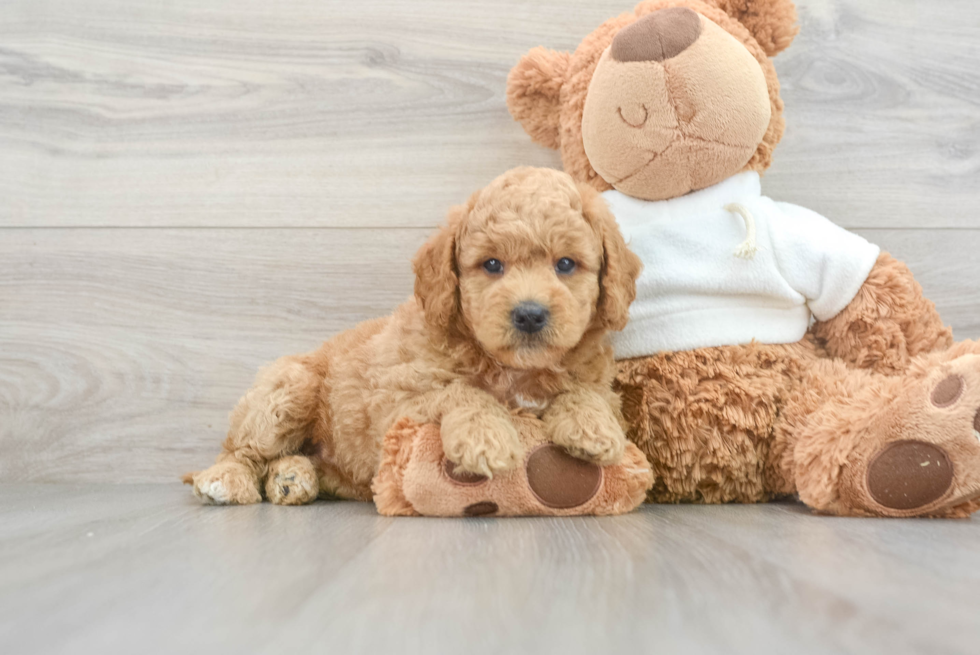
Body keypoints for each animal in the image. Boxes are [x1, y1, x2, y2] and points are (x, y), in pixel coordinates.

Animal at [184, 168, 644, 508]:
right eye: (491, 264)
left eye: (566, 264)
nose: (529, 314)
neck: (513, 369)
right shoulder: (397, 401)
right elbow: (459, 391)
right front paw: (485, 437)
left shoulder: (601, 383)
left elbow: (587, 393)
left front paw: (592, 427)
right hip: (288, 389)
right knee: (242, 449)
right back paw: (227, 479)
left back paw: (292, 477)